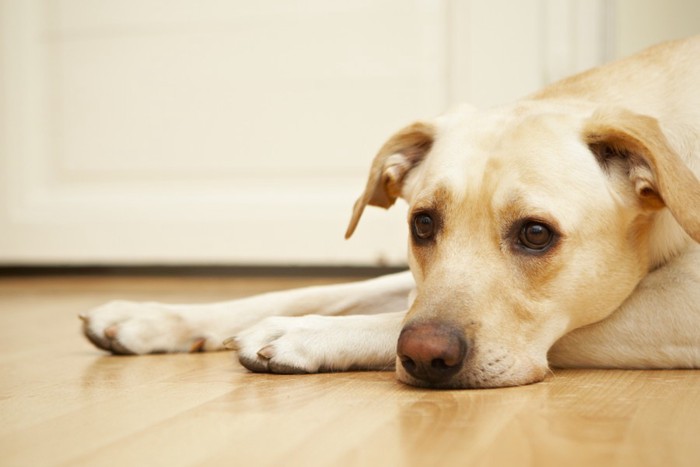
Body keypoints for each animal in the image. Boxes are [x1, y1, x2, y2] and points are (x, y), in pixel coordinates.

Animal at [80, 36, 700, 390]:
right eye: (422, 224)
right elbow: (316, 291)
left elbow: (386, 318)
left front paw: (301, 334)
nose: (424, 356)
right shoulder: (414, 280)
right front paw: (151, 316)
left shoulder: (677, 305)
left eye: (535, 234)